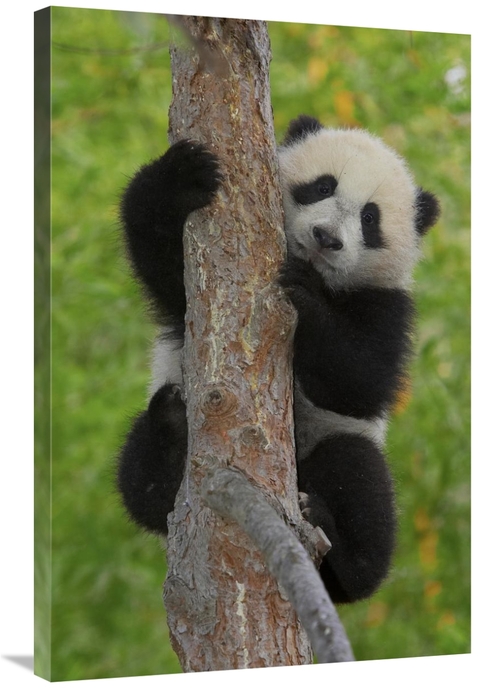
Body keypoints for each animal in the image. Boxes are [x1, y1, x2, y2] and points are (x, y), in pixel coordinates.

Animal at [117, 115, 440, 604]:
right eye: (322, 186)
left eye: (370, 218)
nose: (327, 238)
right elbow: (170, 273)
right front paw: (182, 177)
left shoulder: (388, 304)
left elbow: (362, 381)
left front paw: (304, 294)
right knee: (141, 481)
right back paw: (171, 433)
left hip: (336, 451)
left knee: (358, 477)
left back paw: (337, 544)